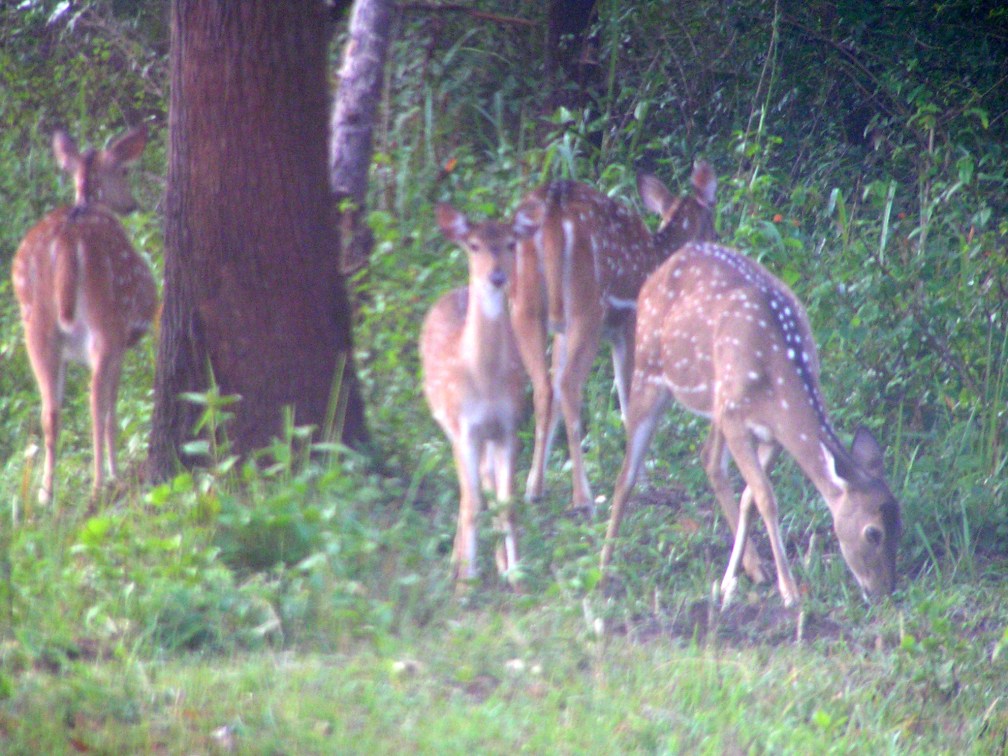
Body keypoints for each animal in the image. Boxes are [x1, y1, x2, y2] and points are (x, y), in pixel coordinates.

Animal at [11, 124, 158, 504]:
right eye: (124, 170)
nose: (132, 205)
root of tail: (67, 244)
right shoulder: (123, 341)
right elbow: (112, 408)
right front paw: (113, 470)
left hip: (36, 329)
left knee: (49, 411)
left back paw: (45, 494)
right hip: (106, 322)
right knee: (96, 403)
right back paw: (101, 483)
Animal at [419, 202, 538, 587]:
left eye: (512, 242)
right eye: (473, 245)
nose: (497, 277)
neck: (484, 382)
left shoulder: (510, 424)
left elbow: (508, 503)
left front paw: (518, 576)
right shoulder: (463, 427)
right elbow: (472, 504)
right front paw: (465, 583)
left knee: (485, 483)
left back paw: (498, 563)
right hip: (448, 423)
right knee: (467, 495)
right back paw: (456, 566)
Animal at [509, 163, 717, 512]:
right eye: (713, 223)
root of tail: (552, 212)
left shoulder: (562, 332)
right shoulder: (630, 323)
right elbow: (628, 398)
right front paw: (642, 480)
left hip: (525, 307)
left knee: (544, 386)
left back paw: (533, 490)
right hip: (587, 308)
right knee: (569, 385)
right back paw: (583, 499)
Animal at [599, 240, 902, 606]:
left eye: (900, 526)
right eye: (873, 533)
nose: (884, 592)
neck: (777, 379)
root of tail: (661, 268)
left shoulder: (770, 433)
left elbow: (750, 497)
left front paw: (728, 582)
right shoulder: (736, 419)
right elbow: (766, 498)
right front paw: (789, 591)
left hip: (714, 403)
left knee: (709, 460)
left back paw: (751, 569)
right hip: (649, 370)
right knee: (626, 473)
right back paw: (603, 569)